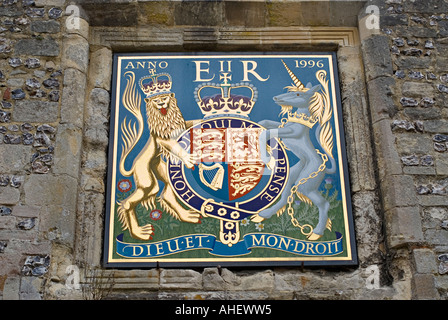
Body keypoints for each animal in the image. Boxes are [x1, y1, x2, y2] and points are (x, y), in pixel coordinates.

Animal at [117, 70, 200, 240]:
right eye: (156, 100)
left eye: (165, 97)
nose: (161, 104)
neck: (165, 117)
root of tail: (133, 166)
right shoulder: (163, 138)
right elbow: (175, 146)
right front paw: (188, 158)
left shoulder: (181, 126)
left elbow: (192, 123)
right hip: (146, 180)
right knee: (128, 203)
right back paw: (139, 233)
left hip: (159, 170)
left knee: (167, 193)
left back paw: (186, 216)